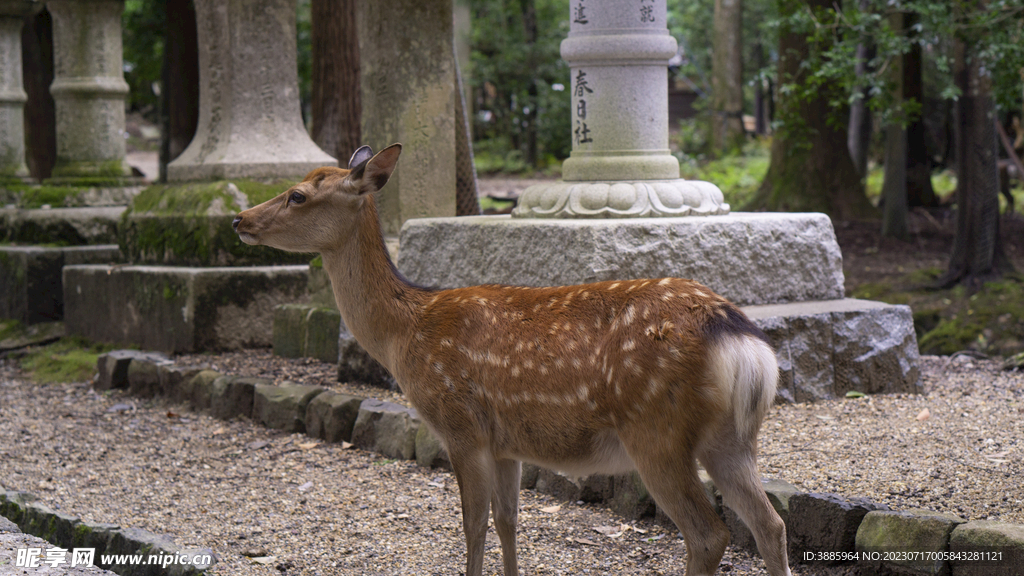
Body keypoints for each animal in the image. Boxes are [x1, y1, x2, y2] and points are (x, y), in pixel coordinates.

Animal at [232, 144, 790, 573]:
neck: (404, 332)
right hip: (731, 438)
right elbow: (508, 521)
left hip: (656, 429)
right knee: (771, 523)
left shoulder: (461, 425)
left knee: (709, 534)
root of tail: (741, 340)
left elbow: (472, 524)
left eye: (299, 194)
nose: (239, 219)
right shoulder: (507, 442)